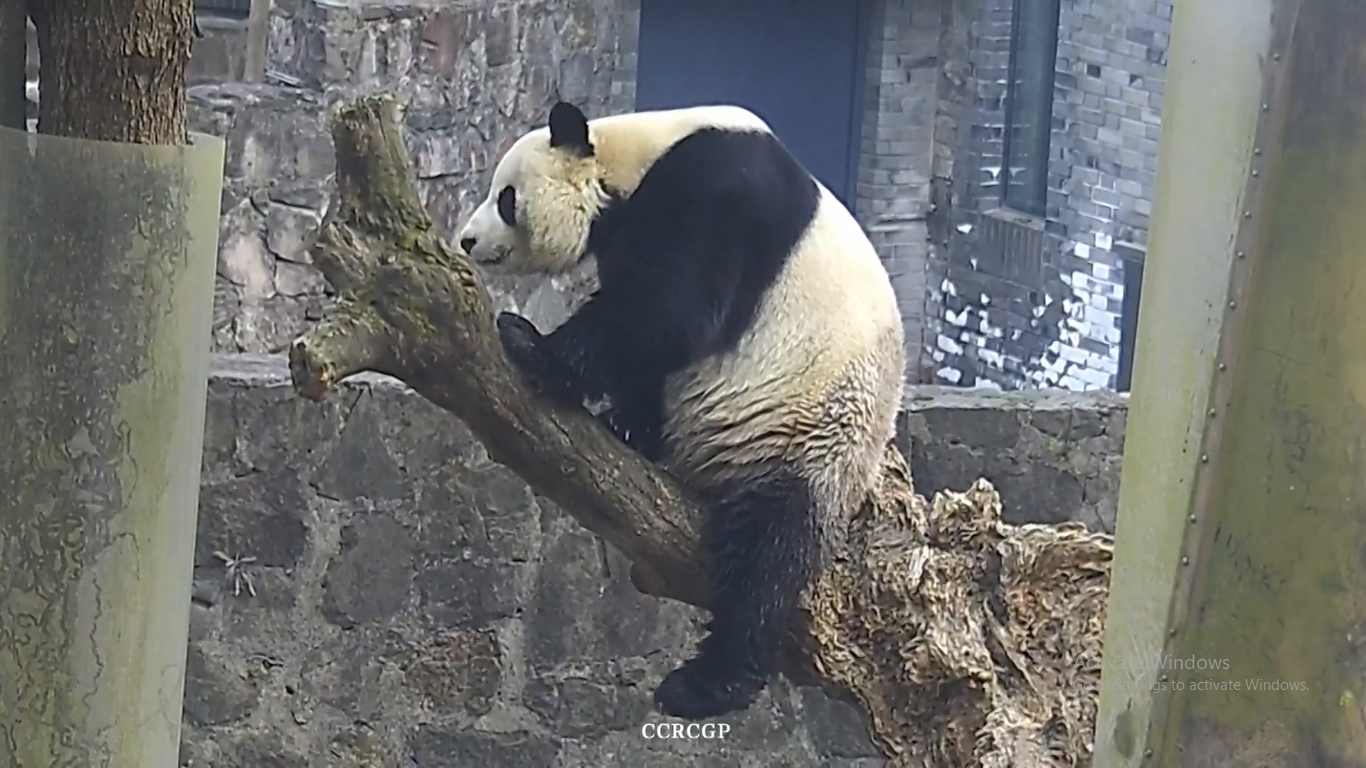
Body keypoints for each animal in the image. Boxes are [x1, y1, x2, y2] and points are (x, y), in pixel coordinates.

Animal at [456, 101, 905, 721]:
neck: (635, 155)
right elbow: (651, 341)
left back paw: (708, 684)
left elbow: (673, 311)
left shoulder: (718, 191)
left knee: (769, 555)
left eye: (506, 197)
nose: (467, 240)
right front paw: (629, 424)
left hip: (815, 432)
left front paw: (530, 344)